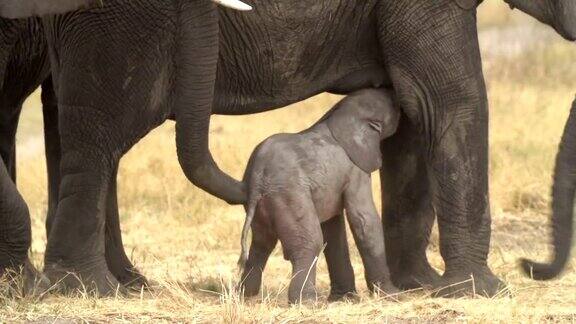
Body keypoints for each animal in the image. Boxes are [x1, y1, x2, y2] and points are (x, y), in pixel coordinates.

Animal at [238, 87, 400, 302]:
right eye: (393, 104)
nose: (395, 93)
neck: (342, 115)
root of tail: (258, 174)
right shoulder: (356, 170)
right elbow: (364, 220)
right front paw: (394, 295)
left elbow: (333, 226)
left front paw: (346, 299)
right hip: (289, 195)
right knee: (310, 242)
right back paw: (306, 302)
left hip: (262, 203)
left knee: (261, 245)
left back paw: (246, 297)